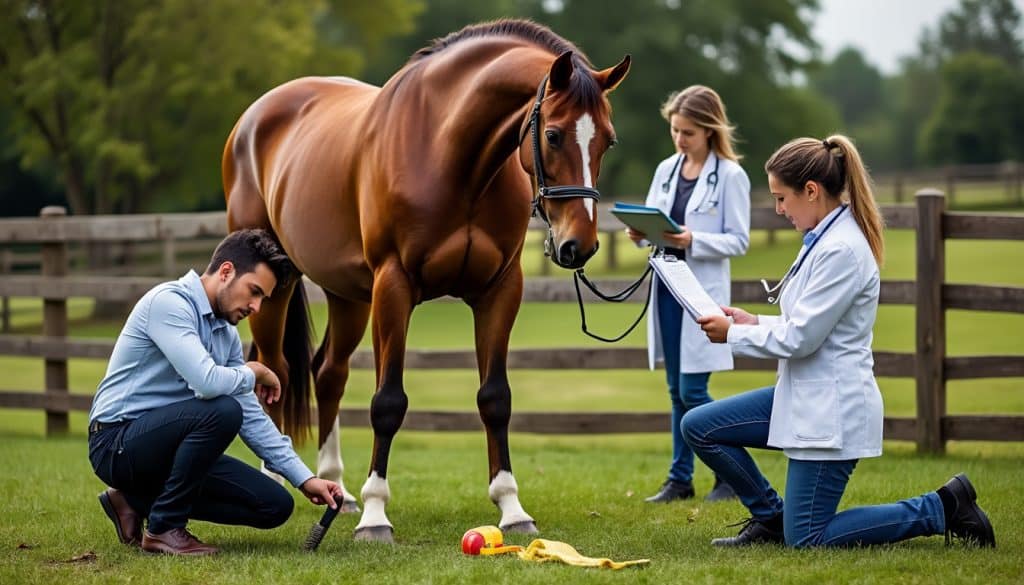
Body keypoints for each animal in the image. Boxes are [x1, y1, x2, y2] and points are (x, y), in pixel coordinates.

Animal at [222, 19, 629, 542]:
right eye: (555, 135)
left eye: (608, 140)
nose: (580, 245)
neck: (450, 155)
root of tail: (254, 118)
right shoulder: (394, 286)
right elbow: (388, 401)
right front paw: (376, 517)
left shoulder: (500, 290)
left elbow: (495, 398)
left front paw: (512, 508)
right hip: (278, 286)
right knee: (275, 370)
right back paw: (280, 476)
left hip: (348, 294)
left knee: (328, 374)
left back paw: (337, 489)